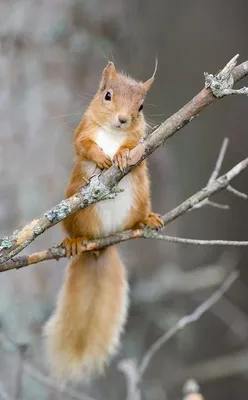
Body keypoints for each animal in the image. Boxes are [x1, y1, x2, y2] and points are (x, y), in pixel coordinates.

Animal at [44, 61, 163, 382]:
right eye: (107, 95)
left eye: (141, 106)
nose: (123, 120)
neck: (111, 133)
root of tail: (101, 245)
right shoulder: (82, 130)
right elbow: (82, 145)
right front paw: (101, 157)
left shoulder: (141, 141)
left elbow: (134, 146)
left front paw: (121, 154)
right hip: (76, 211)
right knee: (76, 230)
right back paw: (74, 242)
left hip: (140, 198)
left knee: (136, 220)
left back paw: (146, 221)